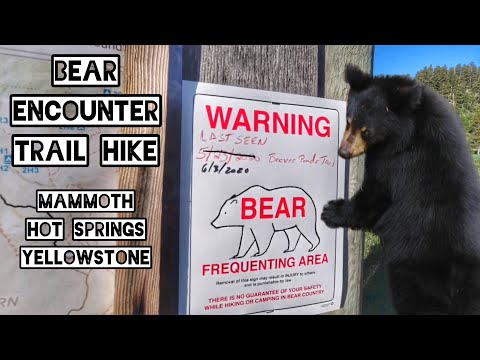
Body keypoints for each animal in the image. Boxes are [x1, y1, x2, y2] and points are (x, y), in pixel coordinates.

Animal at [320, 64, 480, 316]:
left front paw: (332, 210)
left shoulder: (399, 161)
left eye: (366, 131)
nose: (343, 152)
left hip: (412, 275)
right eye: (348, 121)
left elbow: (375, 195)